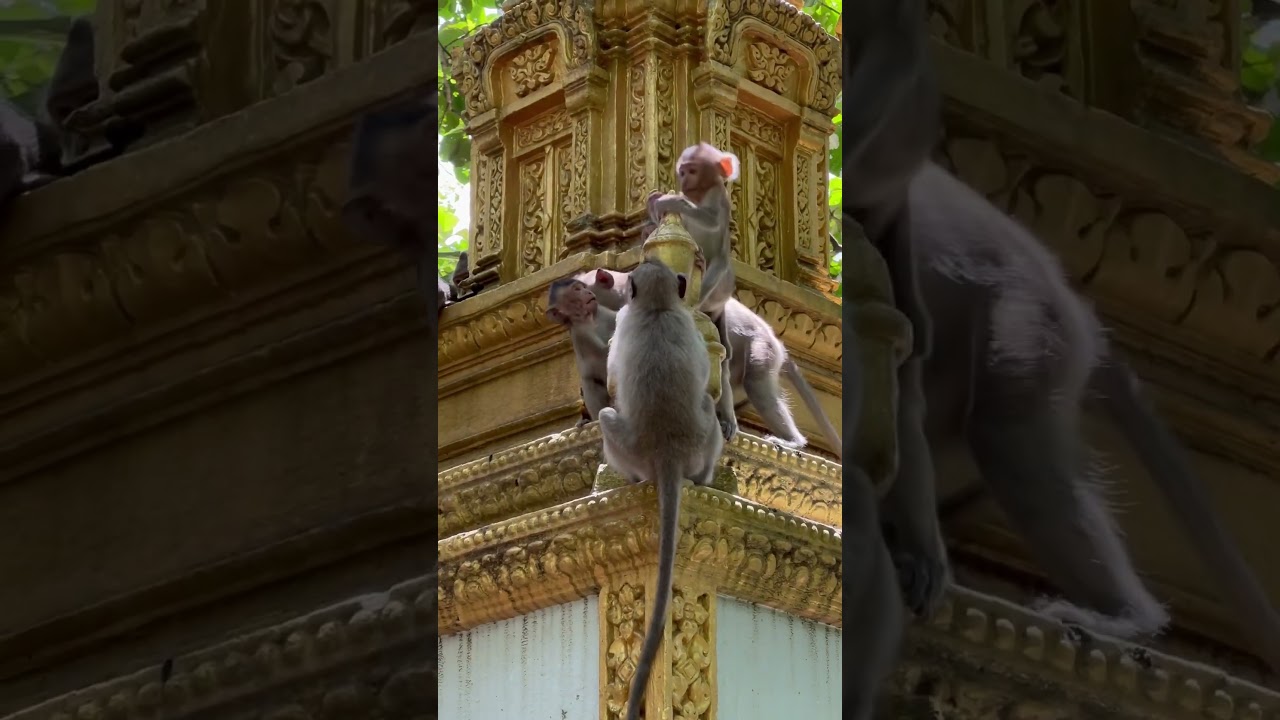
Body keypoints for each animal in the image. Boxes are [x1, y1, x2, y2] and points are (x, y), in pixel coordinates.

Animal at [546, 271, 619, 426]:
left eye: (584, 287)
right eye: (577, 290)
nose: (588, 292)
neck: (590, 318)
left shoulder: (603, 311)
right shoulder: (580, 333)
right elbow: (601, 359)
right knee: (590, 381)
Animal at [647, 143, 740, 443]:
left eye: (693, 170)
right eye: (683, 171)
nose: (684, 180)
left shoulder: (720, 198)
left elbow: (713, 224)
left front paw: (671, 201)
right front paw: (655, 201)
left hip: (719, 296)